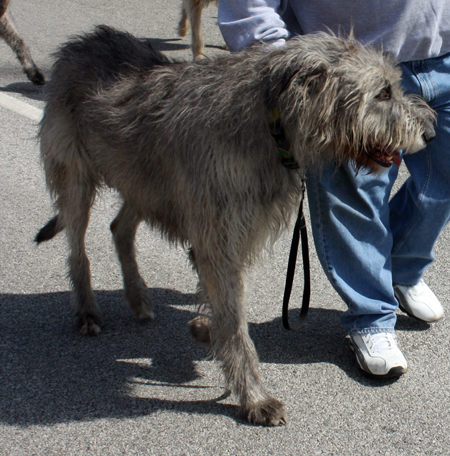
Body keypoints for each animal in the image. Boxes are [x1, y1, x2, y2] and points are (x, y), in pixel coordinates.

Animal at [36, 26, 436, 426]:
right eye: (383, 93)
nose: (431, 132)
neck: (270, 124)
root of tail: (84, 40)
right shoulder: (218, 235)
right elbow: (233, 321)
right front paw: (254, 397)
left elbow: (223, 307)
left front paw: (206, 331)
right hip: (79, 174)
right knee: (77, 246)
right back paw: (87, 311)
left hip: (145, 182)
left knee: (119, 227)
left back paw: (138, 298)